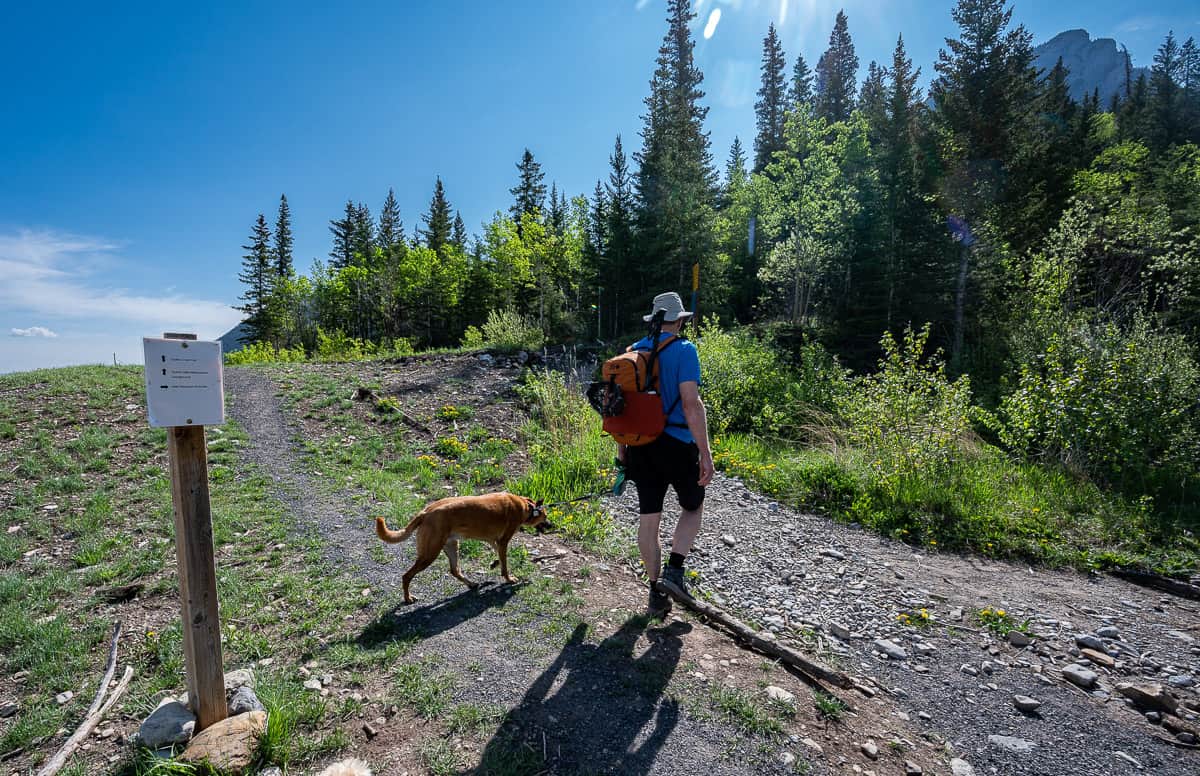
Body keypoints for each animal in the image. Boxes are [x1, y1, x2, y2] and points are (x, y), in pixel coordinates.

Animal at [372, 494, 547, 604]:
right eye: (545, 517)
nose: (551, 525)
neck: (526, 506)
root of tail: (426, 512)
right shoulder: (503, 540)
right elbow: (505, 565)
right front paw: (509, 578)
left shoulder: (494, 540)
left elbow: (498, 555)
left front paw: (494, 563)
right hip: (430, 554)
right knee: (406, 576)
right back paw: (408, 598)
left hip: (451, 546)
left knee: (455, 570)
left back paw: (471, 584)